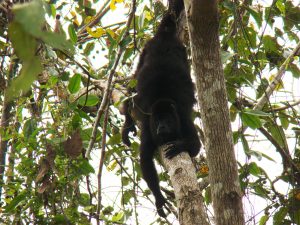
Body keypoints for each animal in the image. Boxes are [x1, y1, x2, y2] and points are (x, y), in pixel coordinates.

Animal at [120, 0, 200, 218]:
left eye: (168, 120)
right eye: (158, 120)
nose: (162, 127)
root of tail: (163, 38)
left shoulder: (184, 119)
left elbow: (196, 146)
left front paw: (180, 145)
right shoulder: (148, 128)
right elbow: (145, 161)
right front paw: (159, 198)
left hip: (180, 52)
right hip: (145, 52)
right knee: (132, 89)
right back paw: (127, 121)